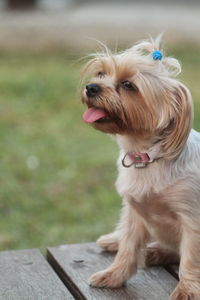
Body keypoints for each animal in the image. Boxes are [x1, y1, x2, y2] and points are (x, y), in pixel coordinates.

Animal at [80, 35, 199, 300]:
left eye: (128, 85)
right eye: (101, 73)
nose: (91, 87)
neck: (147, 157)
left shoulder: (192, 220)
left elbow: (190, 258)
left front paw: (187, 289)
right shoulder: (134, 210)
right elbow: (129, 246)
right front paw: (114, 276)